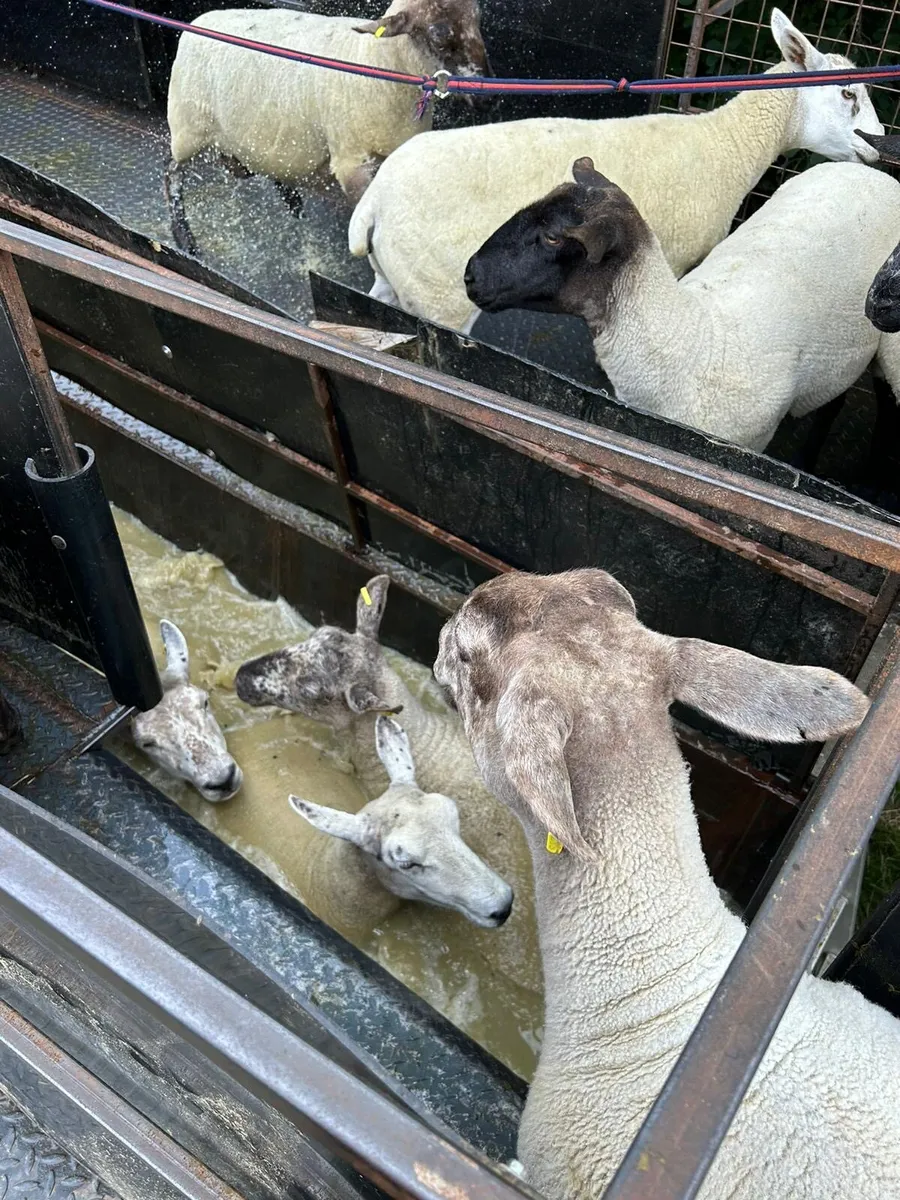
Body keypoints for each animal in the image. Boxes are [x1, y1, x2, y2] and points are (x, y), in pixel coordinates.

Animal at [165, 0, 487, 255]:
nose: (487, 93)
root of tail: (198, 22)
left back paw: (292, 201)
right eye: (438, 34)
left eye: (477, 18)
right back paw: (185, 239)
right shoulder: (352, 164)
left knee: (247, 165)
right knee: (172, 175)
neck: (375, 61)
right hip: (187, 128)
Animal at [348, 9, 883, 333]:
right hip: (441, 299)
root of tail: (374, 202)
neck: (727, 145)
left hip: (397, 280)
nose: (879, 145)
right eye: (848, 92)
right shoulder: (677, 257)